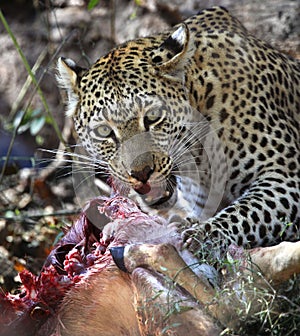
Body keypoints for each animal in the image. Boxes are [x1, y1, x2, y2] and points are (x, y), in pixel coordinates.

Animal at [56, 6, 300, 251]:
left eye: (153, 117)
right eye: (104, 132)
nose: (141, 174)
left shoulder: (286, 175)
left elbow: (245, 212)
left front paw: (205, 236)